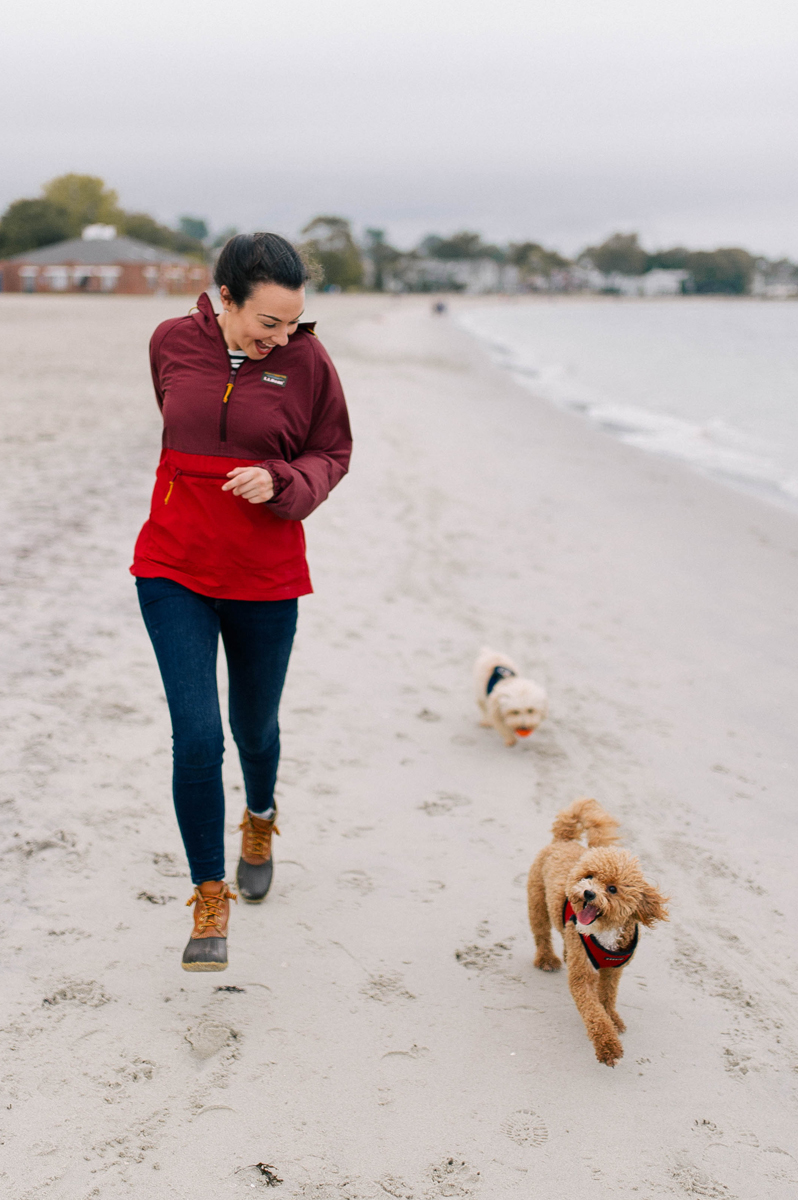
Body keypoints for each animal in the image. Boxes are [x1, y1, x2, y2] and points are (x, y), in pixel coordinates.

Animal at [528, 801, 667, 1065]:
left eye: (612, 889)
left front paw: (613, 1018)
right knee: (542, 933)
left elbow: (607, 997)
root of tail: (564, 839)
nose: (588, 893)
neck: (606, 931)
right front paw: (608, 1046)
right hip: (537, 901)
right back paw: (547, 959)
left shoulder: (613, 971)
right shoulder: (583, 976)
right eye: (588, 876)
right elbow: (594, 1012)